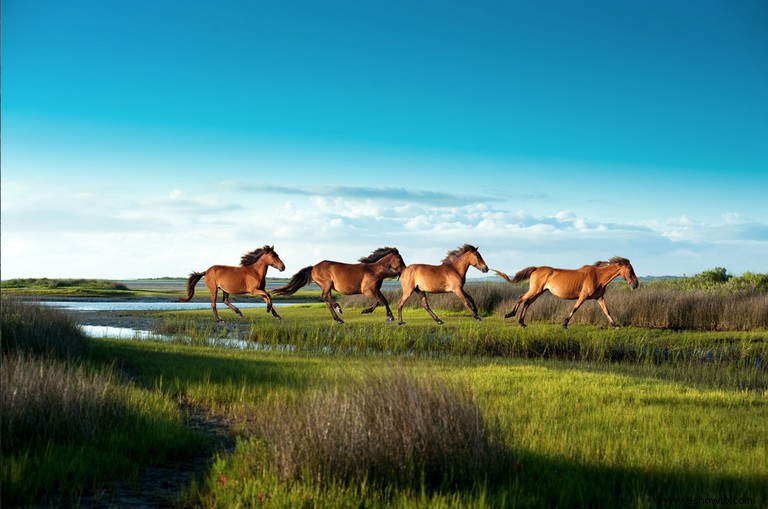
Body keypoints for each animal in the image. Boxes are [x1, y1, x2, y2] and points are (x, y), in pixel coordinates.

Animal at [274, 248, 408, 324]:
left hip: (328, 288)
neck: (374, 271)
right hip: (327, 285)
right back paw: (338, 308)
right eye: (400, 259)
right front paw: (366, 311)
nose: (405, 269)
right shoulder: (368, 291)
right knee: (324, 298)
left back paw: (338, 319)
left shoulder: (376, 290)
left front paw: (390, 317)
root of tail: (313, 267)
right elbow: (378, 302)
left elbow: (385, 301)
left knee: (327, 301)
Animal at [496, 256, 640, 328]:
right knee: (521, 298)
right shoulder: (583, 296)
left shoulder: (599, 297)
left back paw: (522, 323)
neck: (598, 276)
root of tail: (536, 269)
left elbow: (607, 311)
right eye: (630, 270)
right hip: (535, 290)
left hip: (539, 292)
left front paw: (615, 325)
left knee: (527, 303)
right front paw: (564, 324)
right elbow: (575, 308)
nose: (636, 284)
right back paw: (509, 314)